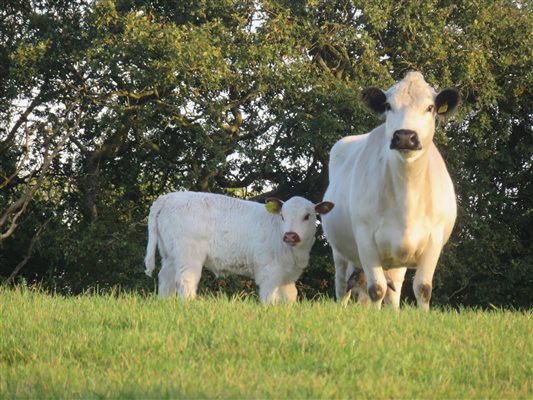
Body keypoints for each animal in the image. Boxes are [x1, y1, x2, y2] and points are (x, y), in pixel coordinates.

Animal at [143, 191, 330, 304]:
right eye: (283, 216)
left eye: (307, 216)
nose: (290, 235)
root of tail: (169, 197)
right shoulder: (270, 271)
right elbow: (269, 296)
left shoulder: (287, 275)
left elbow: (291, 296)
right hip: (188, 254)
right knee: (185, 280)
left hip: (169, 255)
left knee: (165, 278)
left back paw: (165, 302)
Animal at [322, 71, 460, 310]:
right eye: (388, 106)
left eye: (430, 107)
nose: (405, 136)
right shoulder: (366, 240)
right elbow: (376, 289)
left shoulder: (434, 241)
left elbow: (423, 288)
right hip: (340, 251)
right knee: (343, 288)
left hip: (395, 260)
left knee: (392, 289)